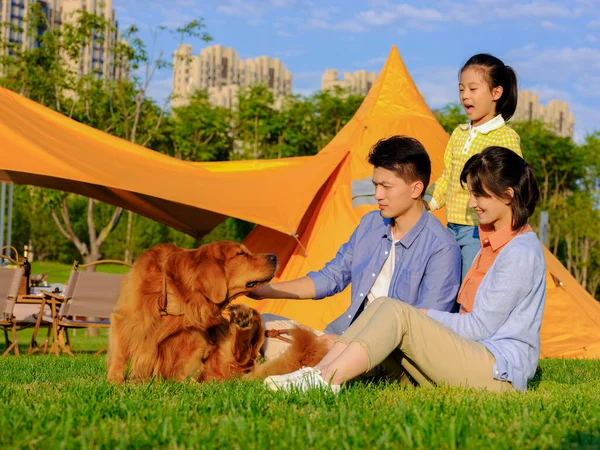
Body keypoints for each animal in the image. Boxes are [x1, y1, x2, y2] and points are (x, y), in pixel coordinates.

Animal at [105, 241, 326, 384]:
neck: (172, 296)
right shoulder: (122, 319)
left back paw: (244, 319)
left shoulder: (194, 338)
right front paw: (115, 383)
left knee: (243, 351)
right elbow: (119, 356)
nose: (274, 256)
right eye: (240, 254)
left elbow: (183, 364)